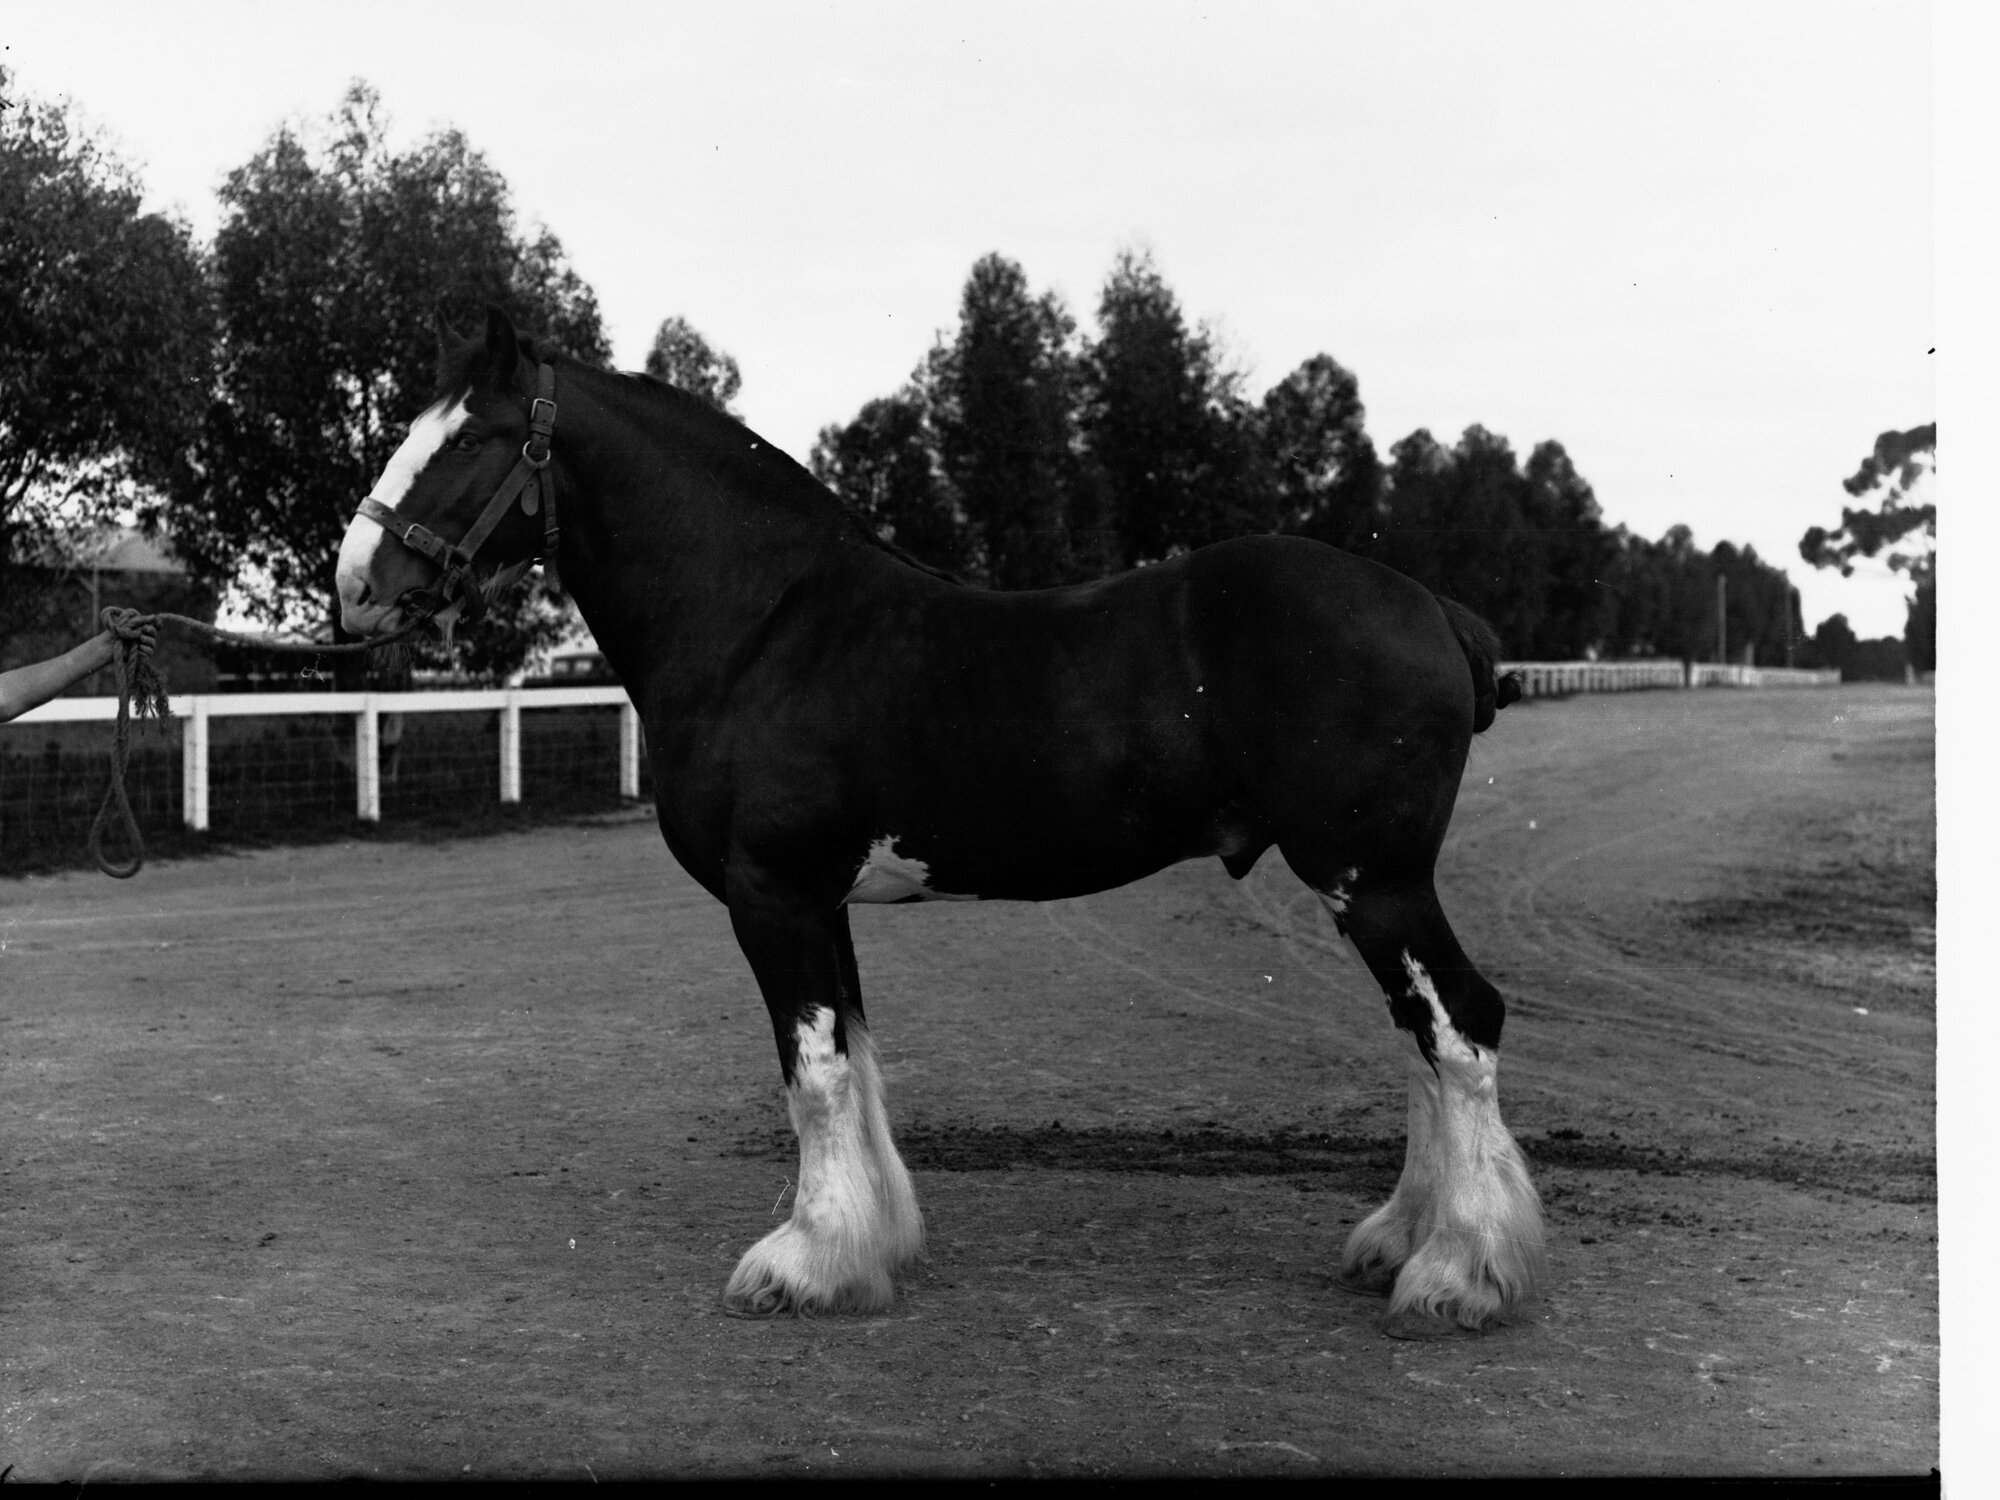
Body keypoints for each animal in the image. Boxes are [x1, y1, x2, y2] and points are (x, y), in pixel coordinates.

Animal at [333, 307, 1545, 1339]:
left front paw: (800, 1264)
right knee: (1423, 1036)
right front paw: (866, 1247)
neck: (761, 624)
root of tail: (1433, 609)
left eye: (469, 436)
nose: (353, 581)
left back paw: (1457, 1273)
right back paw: (1401, 1242)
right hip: (1368, 882)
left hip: (1370, 875)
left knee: (1459, 1027)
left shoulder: (771, 891)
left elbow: (813, 1075)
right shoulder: (821, 900)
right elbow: (854, 1061)